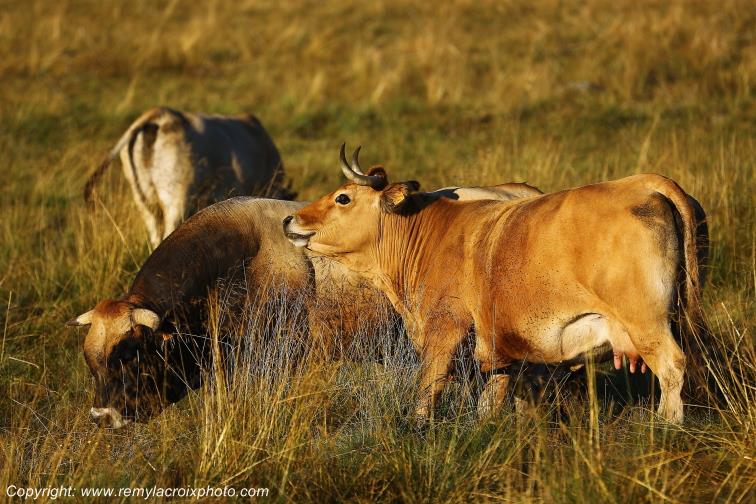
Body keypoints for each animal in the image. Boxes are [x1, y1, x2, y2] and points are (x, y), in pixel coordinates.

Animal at [283, 144, 708, 424]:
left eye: (342, 198)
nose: (290, 220)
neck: (431, 234)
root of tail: (646, 183)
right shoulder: (499, 349)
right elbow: (491, 402)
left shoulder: (445, 326)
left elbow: (428, 387)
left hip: (646, 323)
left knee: (672, 366)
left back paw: (667, 426)